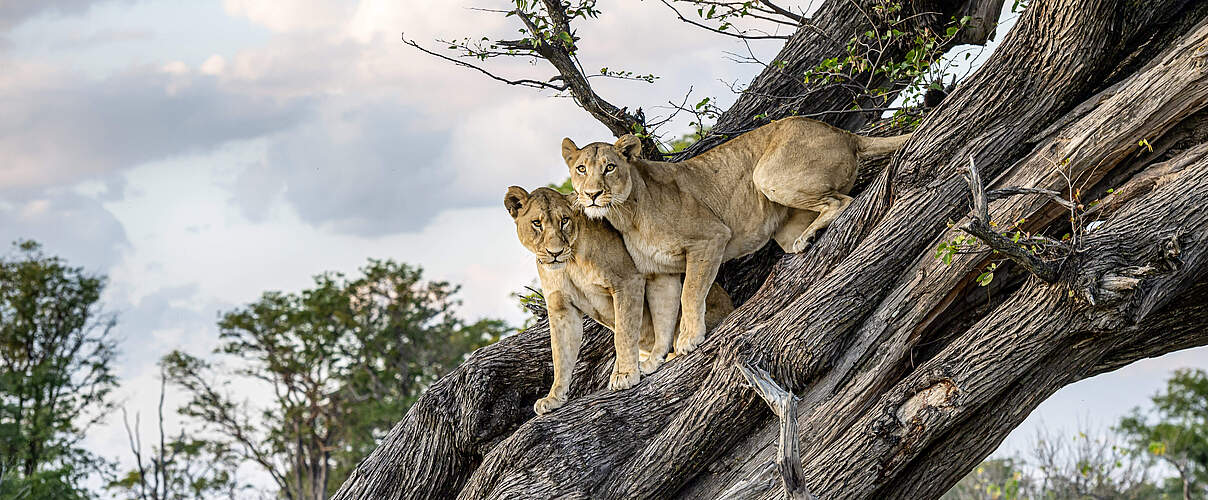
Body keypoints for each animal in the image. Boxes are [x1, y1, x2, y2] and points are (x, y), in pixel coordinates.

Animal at [505, 186, 734, 415]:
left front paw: (624, 375)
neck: (570, 262)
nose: (555, 253)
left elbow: (623, 333)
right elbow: (560, 354)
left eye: (564, 221)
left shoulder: (627, 281)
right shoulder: (561, 308)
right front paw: (553, 397)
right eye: (537, 223)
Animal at [561, 116, 911, 355]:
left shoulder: (710, 237)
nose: (591, 194)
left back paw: (809, 237)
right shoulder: (660, 272)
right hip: (781, 219)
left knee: (841, 201)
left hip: (767, 175)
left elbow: (691, 294)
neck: (625, 214)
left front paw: (689, 339)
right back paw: (806, 238)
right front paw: (664, 352)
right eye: (581, 169)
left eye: (609, 167)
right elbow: (664, 314)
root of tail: (844, 133)